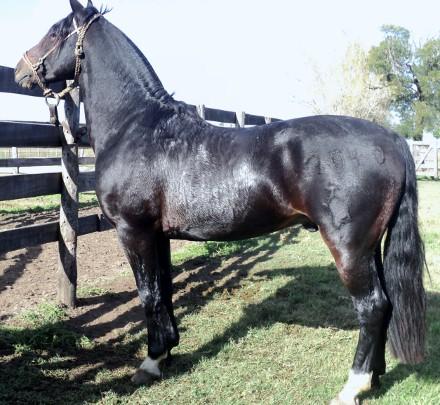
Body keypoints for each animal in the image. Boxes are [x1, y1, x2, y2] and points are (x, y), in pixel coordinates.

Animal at [14, 1, 426, 404]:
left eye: (55, 31)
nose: (21, 69)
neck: (137, 128)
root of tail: (390, 137)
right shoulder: (158, 235)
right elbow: (164, 291)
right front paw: (166, 351)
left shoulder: (133, 232)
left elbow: (148, 295)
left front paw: (149, 363)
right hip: (369, 247)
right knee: (385, 304)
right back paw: (375, 375)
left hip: (348, 248)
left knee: (372, 307)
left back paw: (352, 386)